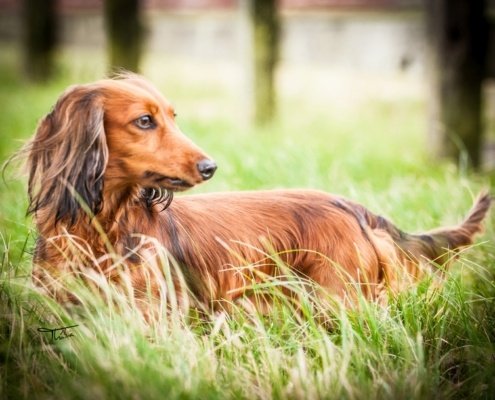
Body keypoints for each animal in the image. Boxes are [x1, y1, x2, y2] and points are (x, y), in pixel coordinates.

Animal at [26, 74, 492, 312]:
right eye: (145, 120)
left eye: (174, 117)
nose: (210, 167)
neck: (102, 226)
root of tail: (351, 206)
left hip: (339, 301)